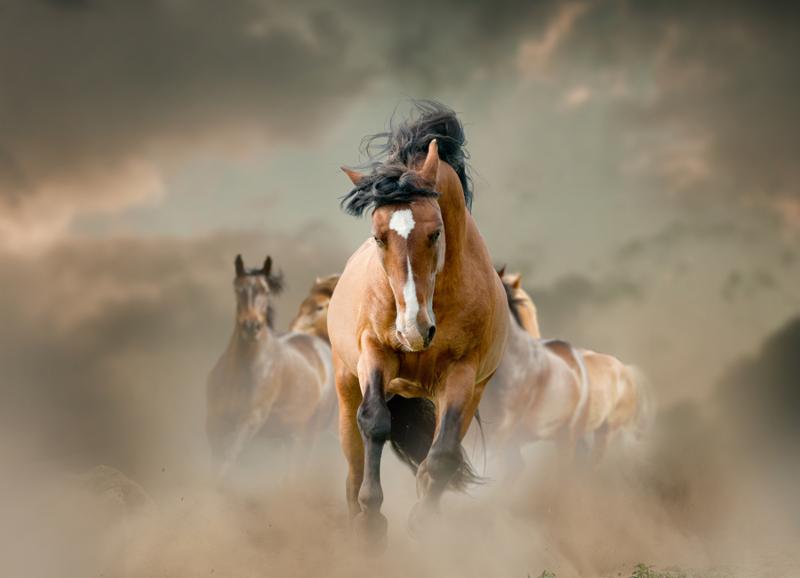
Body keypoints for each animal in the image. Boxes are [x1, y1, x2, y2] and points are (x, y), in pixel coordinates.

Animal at [206, 255, 335, 480]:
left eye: (266, 291)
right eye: (238, 289)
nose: (252, 326)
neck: (240, 372)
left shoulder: (250, 420)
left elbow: (228, 459)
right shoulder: (214, 422)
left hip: (306, 435)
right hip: (285, 437)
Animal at [327, 101, 509, 545]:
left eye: (435, 232)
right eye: (379, 237)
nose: (413, 330)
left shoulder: (462, 374)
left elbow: (441, 456)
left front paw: (422, 523)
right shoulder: (374, 354)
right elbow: (375, 423)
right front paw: (372, 522)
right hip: (345, 386)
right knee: (353, 462)